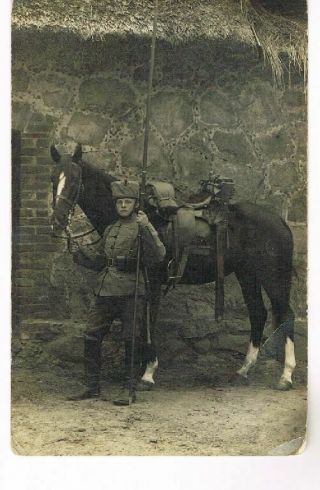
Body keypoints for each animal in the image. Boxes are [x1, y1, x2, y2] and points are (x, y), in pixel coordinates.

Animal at [48, 143, 296, 390]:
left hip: (273, 278)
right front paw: (138, 368)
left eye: (75, 180)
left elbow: (149, 323)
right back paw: (244, 369)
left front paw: (147, 372)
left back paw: (286, 376)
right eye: (52, 178)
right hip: (248, 276)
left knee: (286, 314)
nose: (58, 221)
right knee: (258, 313)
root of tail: (280, 221)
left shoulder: (153, 282)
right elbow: (141, 324)